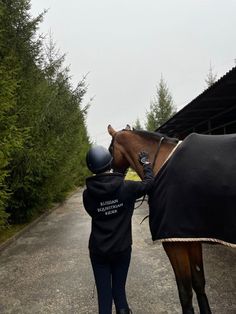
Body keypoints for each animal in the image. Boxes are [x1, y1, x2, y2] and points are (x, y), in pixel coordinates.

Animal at [107, 125, 212, 314]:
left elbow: (185, 291)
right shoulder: (192, 239)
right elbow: (199, 283)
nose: (114, 174)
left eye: (110, 149)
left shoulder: (174, 243)